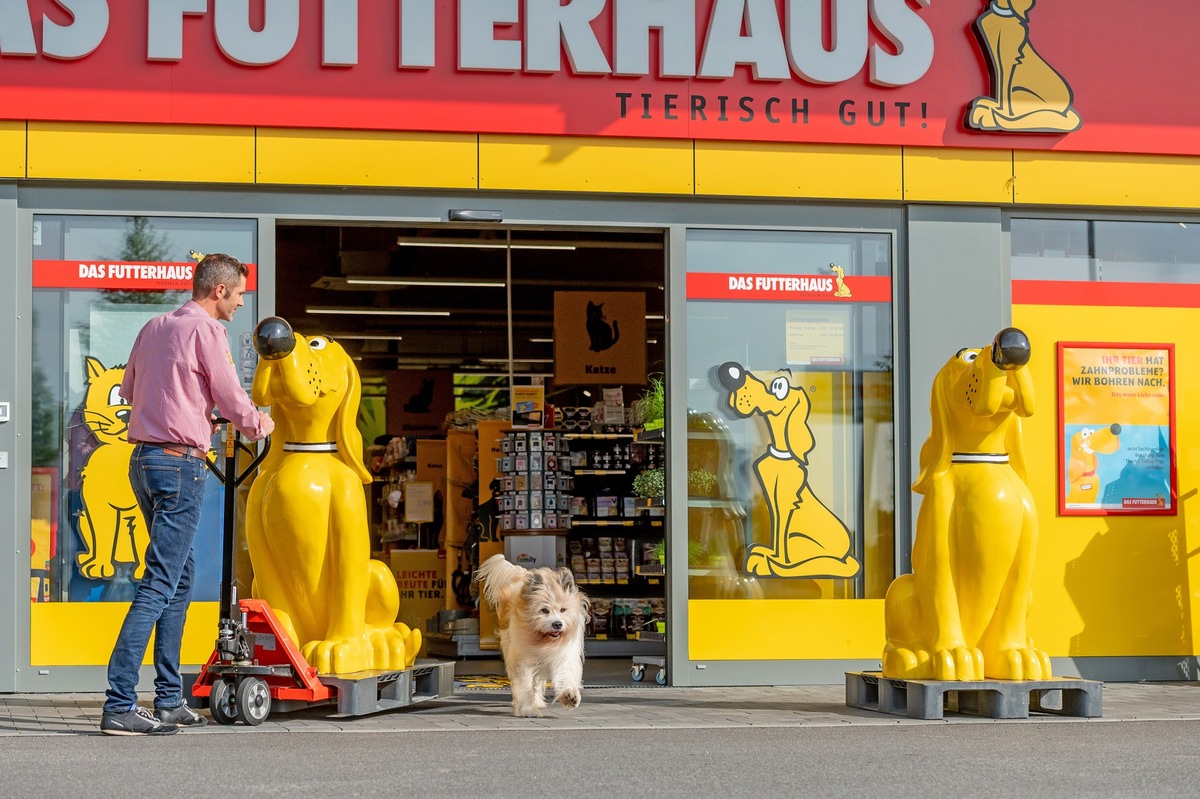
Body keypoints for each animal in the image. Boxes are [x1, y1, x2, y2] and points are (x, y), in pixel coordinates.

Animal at [477, 554, 590, 715]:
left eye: (563, 609)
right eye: (544, 610)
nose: (557, 624)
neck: (543, 641)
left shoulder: (563, 656)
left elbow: (565, 675)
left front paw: (570, 696)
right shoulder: (522, 660)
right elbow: (524, 685)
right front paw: (527, 709)